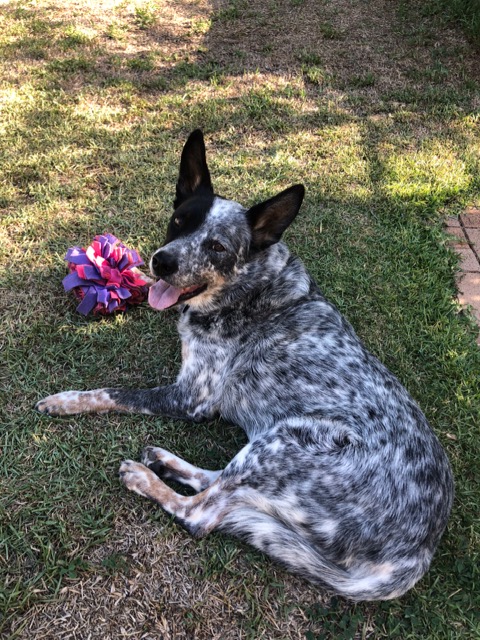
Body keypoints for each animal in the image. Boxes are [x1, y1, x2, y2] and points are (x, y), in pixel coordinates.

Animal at [36, 129, 454, 600]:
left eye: (216, 246)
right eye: (179, 222)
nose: (163, 260)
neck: (251, 285)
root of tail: (412, 559)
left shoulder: (191, 398)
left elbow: (112, 392)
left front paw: (65, 401)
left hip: (283, 441)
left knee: (200, 514)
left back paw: (144, 477)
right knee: (216, 482)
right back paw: (165, 460)